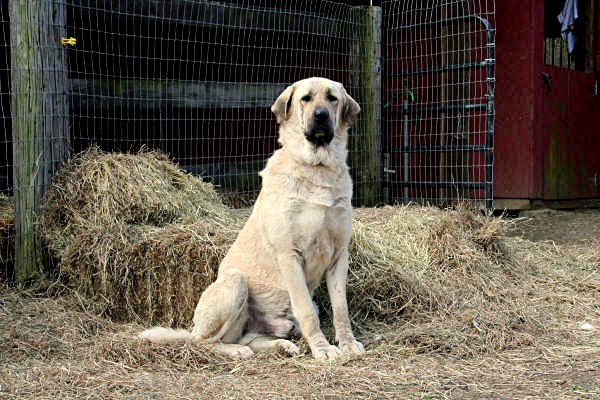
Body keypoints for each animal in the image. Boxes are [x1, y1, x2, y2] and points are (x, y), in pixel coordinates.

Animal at [141, 77, 364, 360]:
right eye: (306, 98)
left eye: (332, 98)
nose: (321, 115)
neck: (317, 168)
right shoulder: (289, 255)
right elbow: (306, 312)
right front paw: (322, 349)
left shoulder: (338, 255)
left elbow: (341, 309)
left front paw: (347, 344)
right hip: (235, 283)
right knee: (204, 342)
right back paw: (237, 351)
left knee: (250, 337)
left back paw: (281, 345)